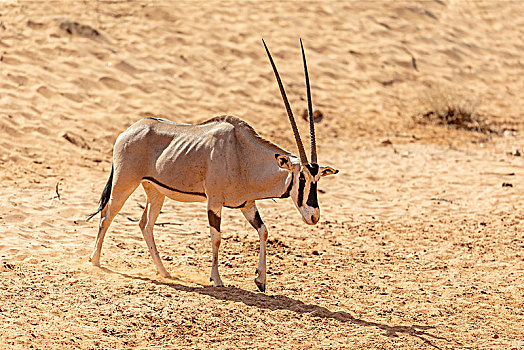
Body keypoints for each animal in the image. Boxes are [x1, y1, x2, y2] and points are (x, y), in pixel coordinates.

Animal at [87, 39, 338, 292]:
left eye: (317, 179)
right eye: (302, 178)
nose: (314, 216)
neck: (242, 154)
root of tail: (128, 131)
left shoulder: (247, 204)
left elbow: (264, 230)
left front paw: (261, 280)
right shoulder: (214, 202)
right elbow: (216, 237)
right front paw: (216, 279)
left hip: (156, 192)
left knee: (145, 224)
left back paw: (164, 272)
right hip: (124, 183)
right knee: (107, 215)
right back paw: (95, 261)